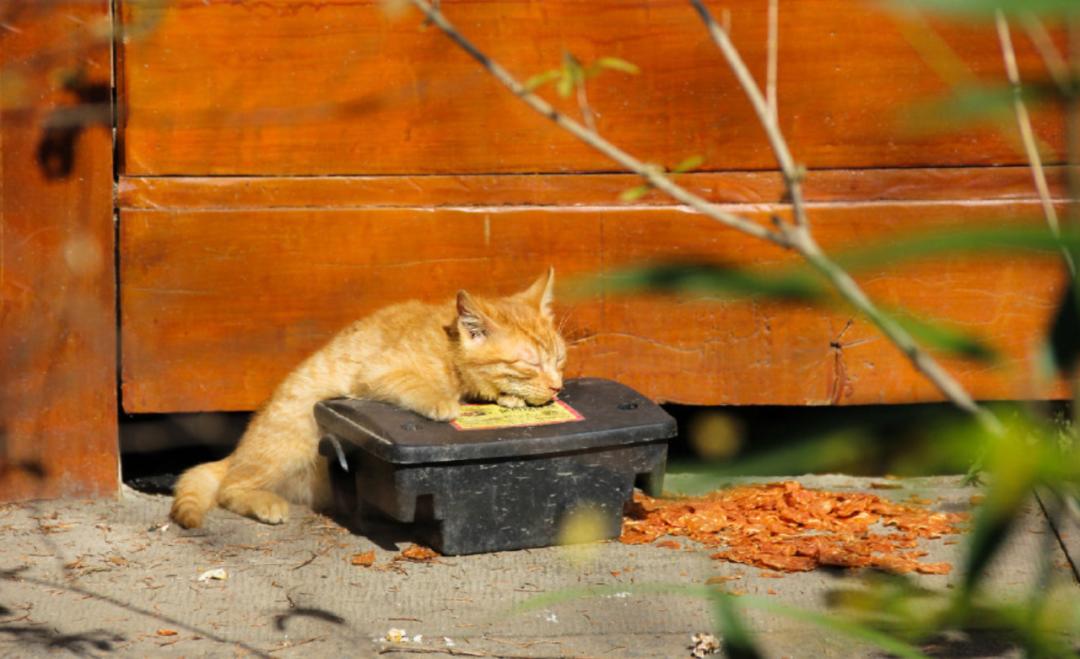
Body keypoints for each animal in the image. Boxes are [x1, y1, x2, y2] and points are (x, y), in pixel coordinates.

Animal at [168, 269, 565, 525]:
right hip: (291, 440)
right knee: (229, 488)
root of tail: (238, 452)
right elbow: (414, 385)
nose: (558, 387)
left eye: (560, 359)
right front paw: (442, 401)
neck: (448, 347)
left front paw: (510, 399)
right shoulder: (376, 372)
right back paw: (264, 502)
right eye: (531, 363)